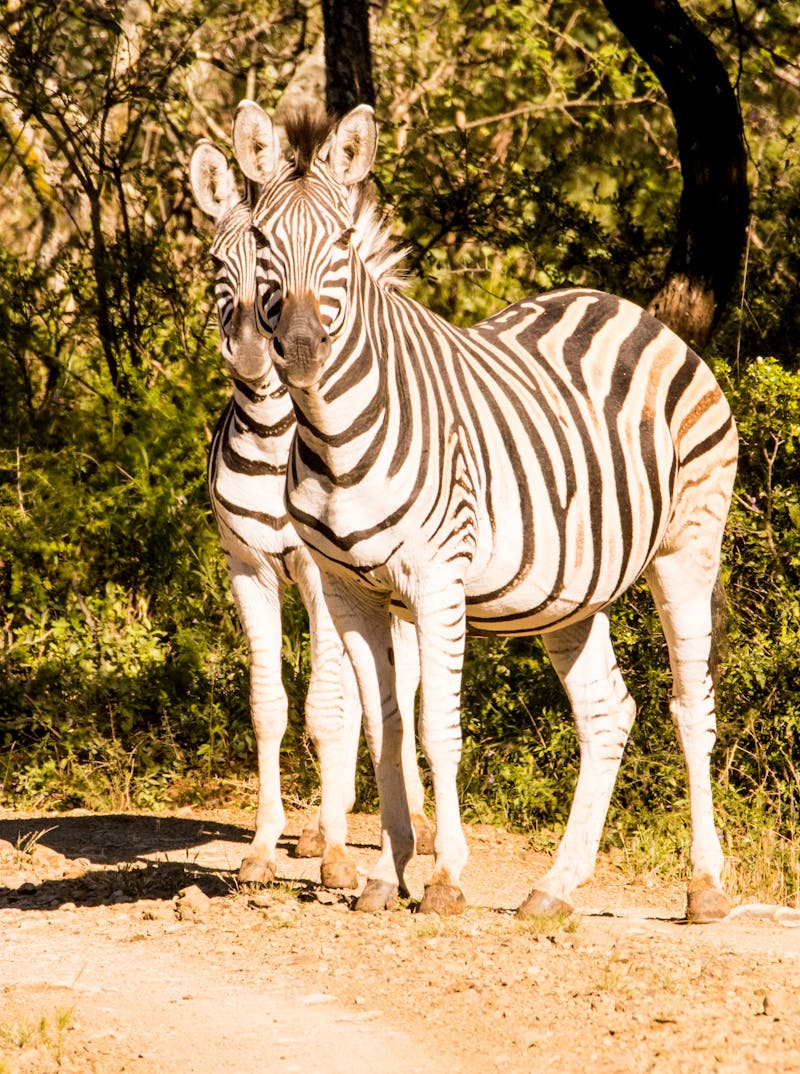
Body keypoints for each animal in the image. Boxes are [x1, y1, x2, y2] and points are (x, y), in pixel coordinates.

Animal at [188, 135, 432, 889]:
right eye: (218, 264)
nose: (249, 353)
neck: (274, 439)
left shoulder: (322, 574)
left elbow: (332, 706)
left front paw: (335, 855)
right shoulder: (246, 566)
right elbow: (268, 706)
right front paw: (265, 847)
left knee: (395, 693)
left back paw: (401, 824)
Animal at [231, 99, 739, 922]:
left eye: (342, 241)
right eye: (262, 241)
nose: (301, 350)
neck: (333, 434)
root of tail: (628, 310)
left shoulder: (439, 578)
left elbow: (438, 728)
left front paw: (442, 878)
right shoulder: (347, 589)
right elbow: (388, 732)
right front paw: (385, 878)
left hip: (687, 548)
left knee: (691, 707)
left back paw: (704, 887)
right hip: (570, 589)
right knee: (607, 713)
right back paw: (555, 886)